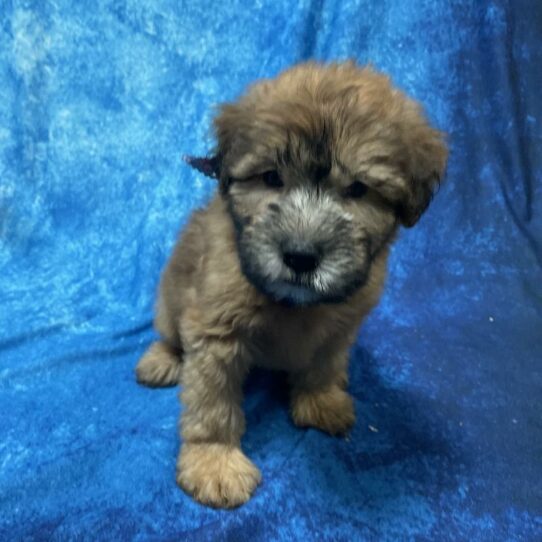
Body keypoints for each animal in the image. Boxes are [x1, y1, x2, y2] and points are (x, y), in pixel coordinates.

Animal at [137, 61, 450, 512]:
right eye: (272, 178)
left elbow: (323, 363)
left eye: (357, 189)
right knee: (170, 334)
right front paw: (213, 460)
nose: (300, 257)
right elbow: (212, 403)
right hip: (170, 300)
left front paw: (319, 399)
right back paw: (161, 359)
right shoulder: (216, 330)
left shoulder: (341, 325)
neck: (294, 304)